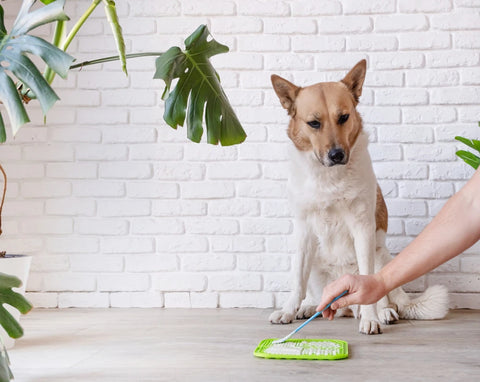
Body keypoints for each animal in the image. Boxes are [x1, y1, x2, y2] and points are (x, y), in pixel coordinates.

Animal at [268, 59, 448, 334]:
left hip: (381, 256)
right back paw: (310, 307)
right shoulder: (304, 230)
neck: (329, 177)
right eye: (314, 123)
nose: (337, 154)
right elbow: (297, 280)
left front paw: (372, 318)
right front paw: (288, 310)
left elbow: (367, 283)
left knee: (384, 296)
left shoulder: (362, 226)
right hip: (316, 267)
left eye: (343, 117)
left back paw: (382, 313)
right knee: (324, 299)